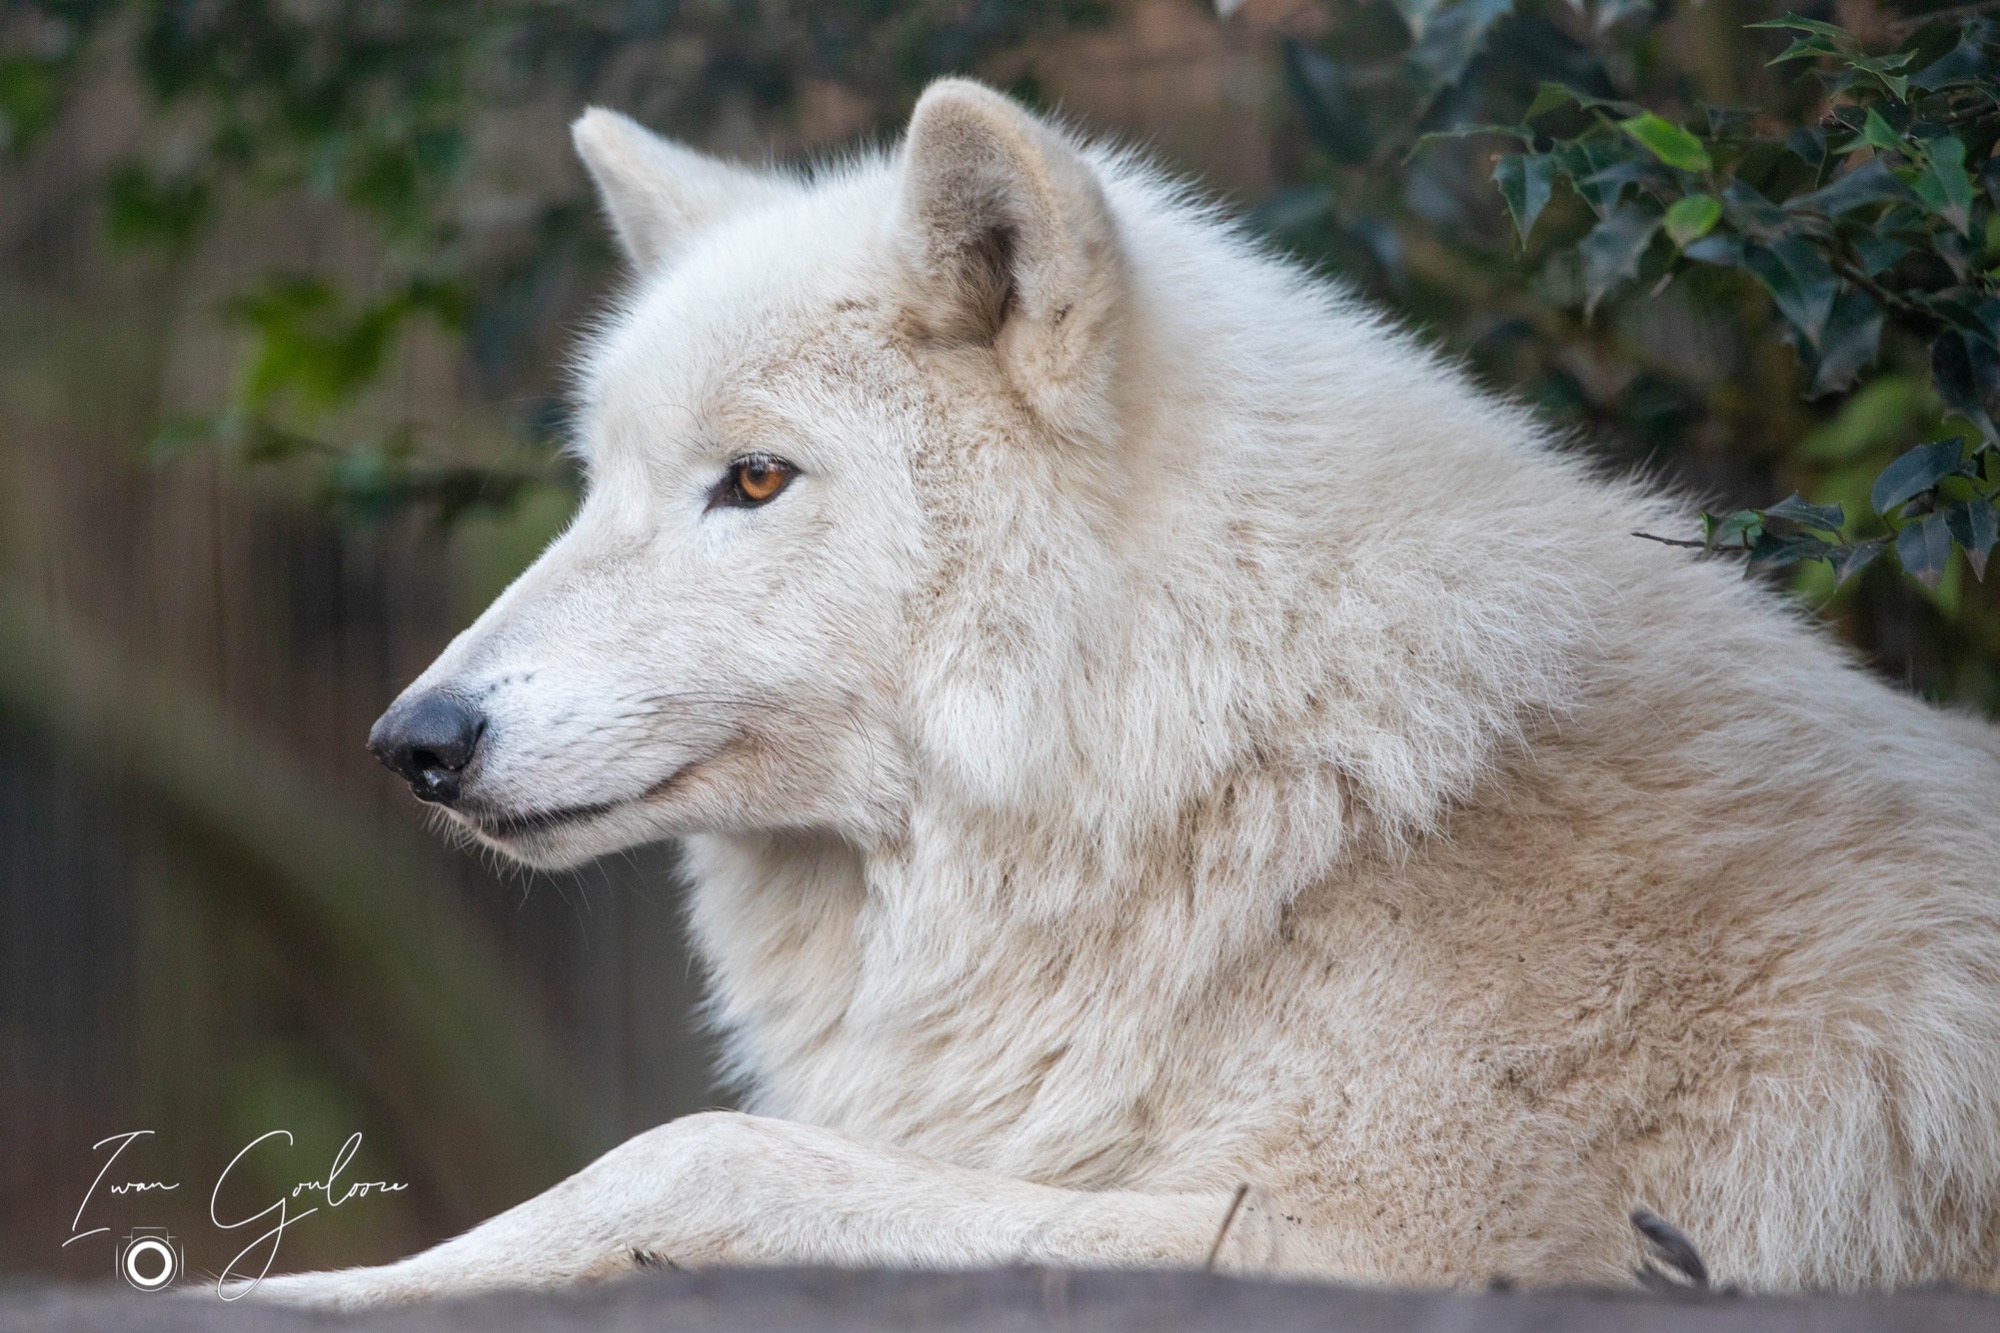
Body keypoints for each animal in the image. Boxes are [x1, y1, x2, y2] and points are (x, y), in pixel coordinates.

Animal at [249, 79, 2000, 1305]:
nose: (413, 741)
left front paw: (301, 1292)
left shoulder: (1368, 1244)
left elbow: (688, 1159)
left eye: (752, 478)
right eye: (595, 484)